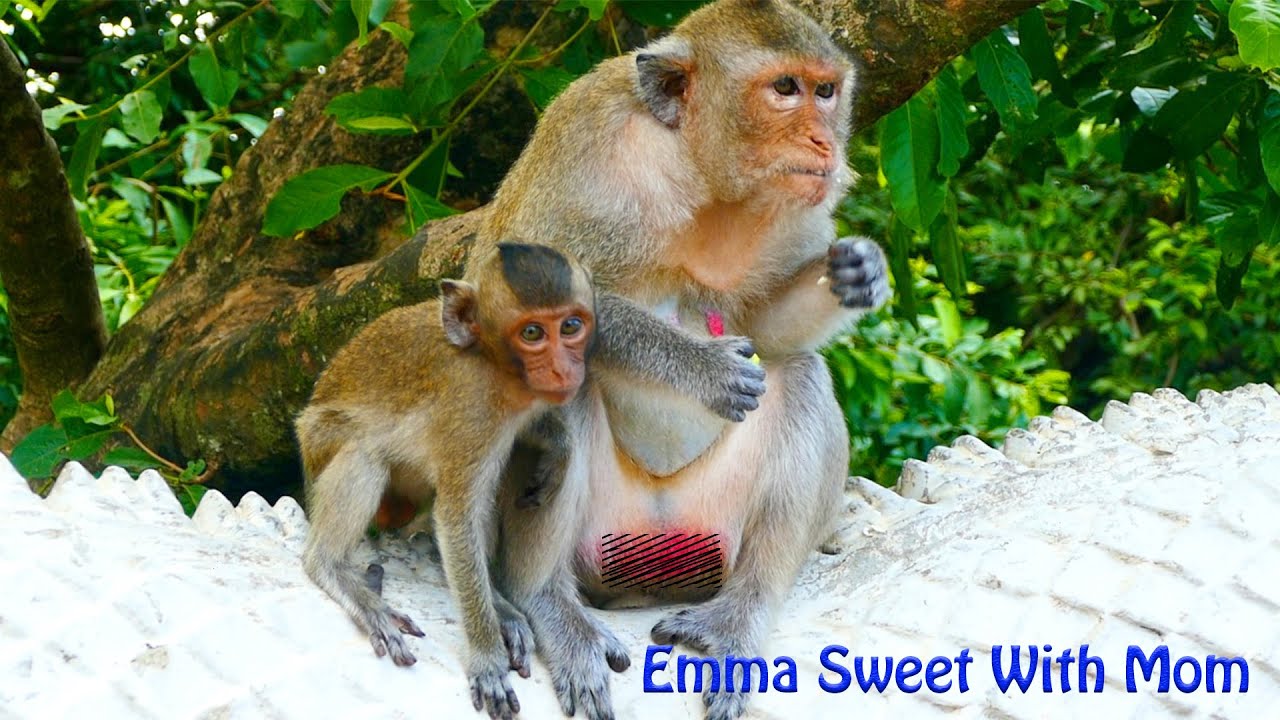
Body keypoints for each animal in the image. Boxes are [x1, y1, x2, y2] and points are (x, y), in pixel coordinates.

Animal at [297, 242, 605, 720]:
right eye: (532, 333)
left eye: (571, 326)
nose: (562, 369)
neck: (495, 366)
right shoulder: (473, 414)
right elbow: (459, 516)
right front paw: (486, 657)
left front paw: (557, 441)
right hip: (318, 443)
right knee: (365, 453)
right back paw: (331, 567)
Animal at [460, 1, 893, 719]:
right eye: (785, 89)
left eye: (827, 91)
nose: (825, 144)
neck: (696, 169)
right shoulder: (589, 138)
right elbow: (519, 308)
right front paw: (704, 369)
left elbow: (767, 330)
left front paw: (859, 270)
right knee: (561, 385)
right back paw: (547, 604)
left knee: (802, 375)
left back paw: (737, 618)